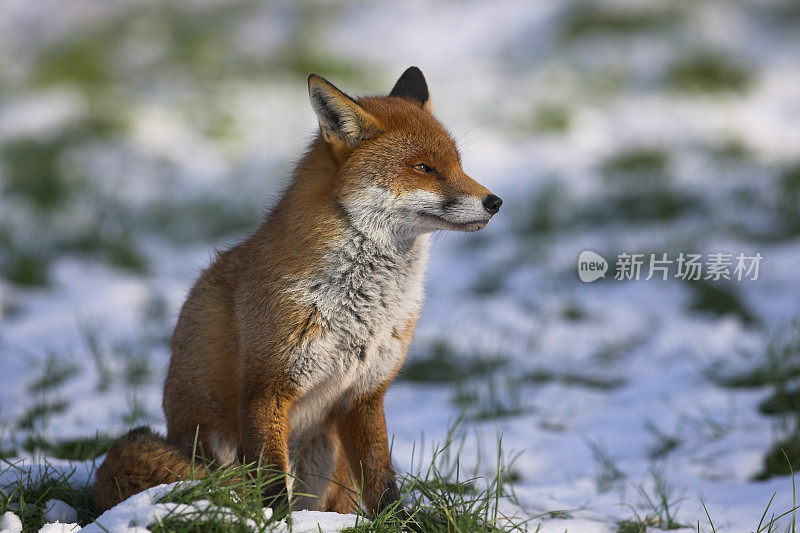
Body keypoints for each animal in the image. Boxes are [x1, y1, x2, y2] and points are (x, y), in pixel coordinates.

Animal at [94, 66, 504, 516]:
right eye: (424, 167)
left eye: (458, 164)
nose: (495, 201)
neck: (362, 305)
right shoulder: (266, 388)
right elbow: (272, 485)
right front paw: (276, 521)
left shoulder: (364, 393)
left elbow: (383, 482)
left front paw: (400, 522)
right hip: (220, 446)